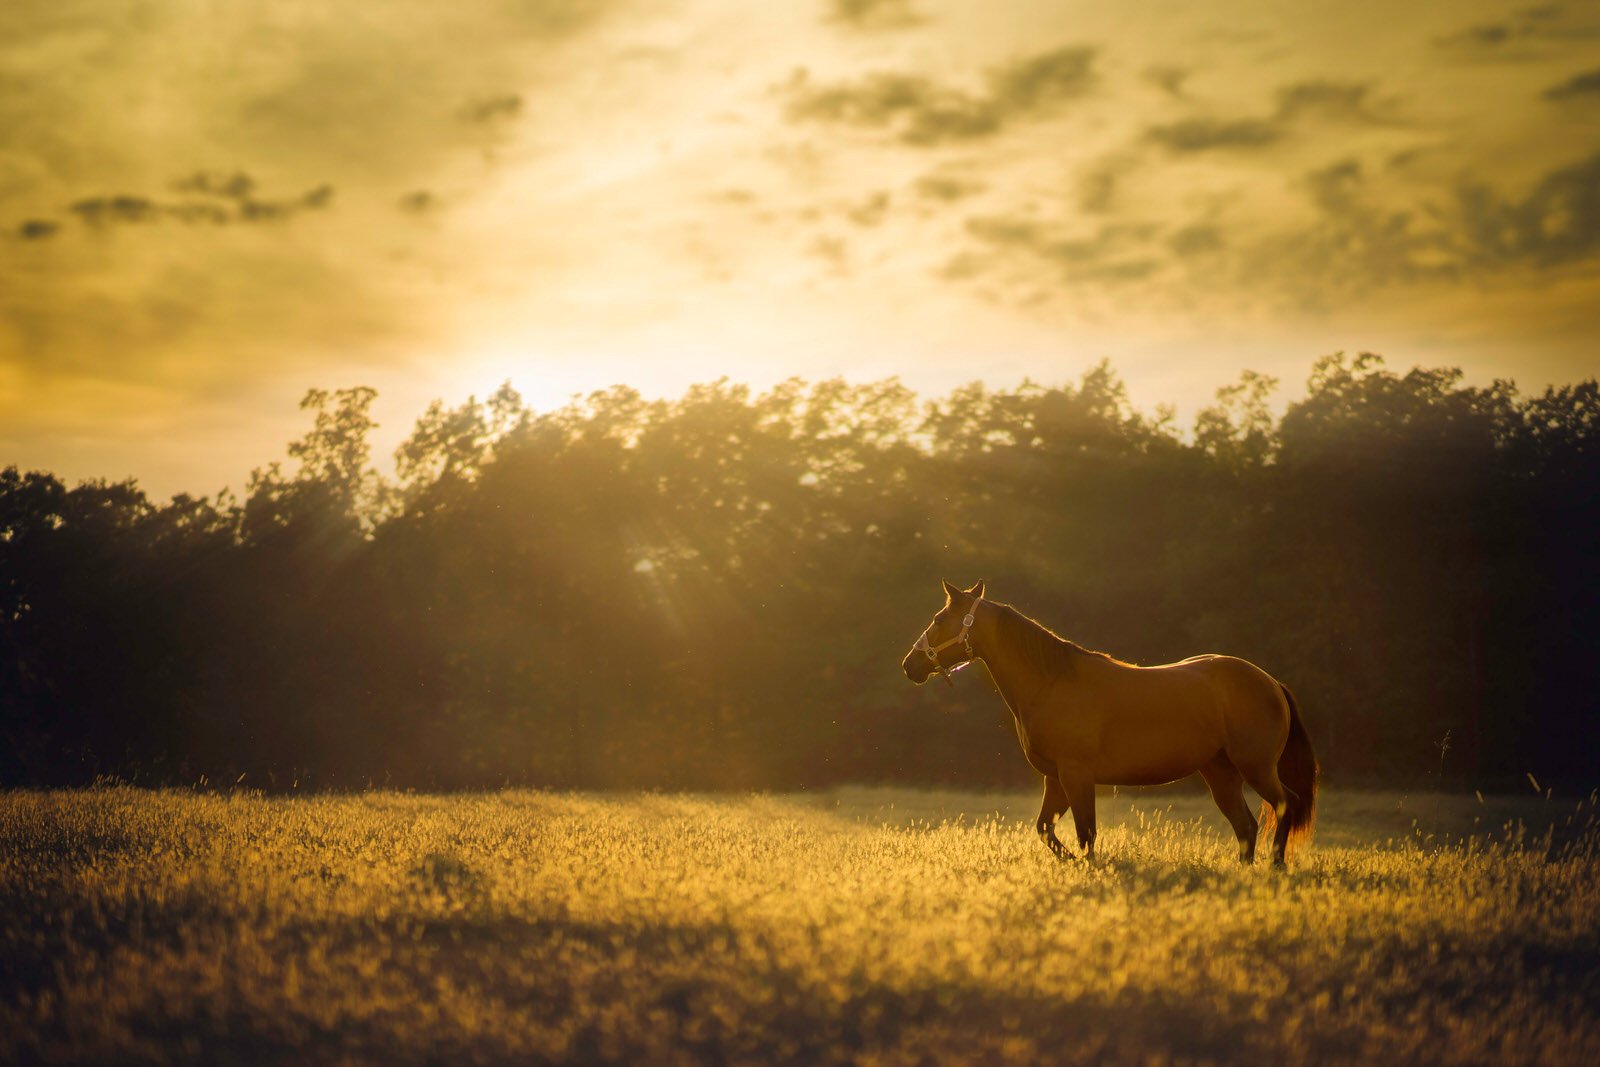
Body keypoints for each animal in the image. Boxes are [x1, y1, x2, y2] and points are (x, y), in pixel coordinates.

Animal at [908, 579, 1318, 863]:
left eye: (939, 619)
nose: (910, 664)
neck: (1052, 683)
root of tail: (1270, 681)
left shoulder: (1077, 775)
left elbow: (1085, 833)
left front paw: (1090, 867)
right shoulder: (1055, 779)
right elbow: (1046, 830)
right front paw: (1074, 863)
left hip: (1256, 768)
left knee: (1286, 805)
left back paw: (1276, 865)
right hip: (1221, 774)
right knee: (1246, 826)